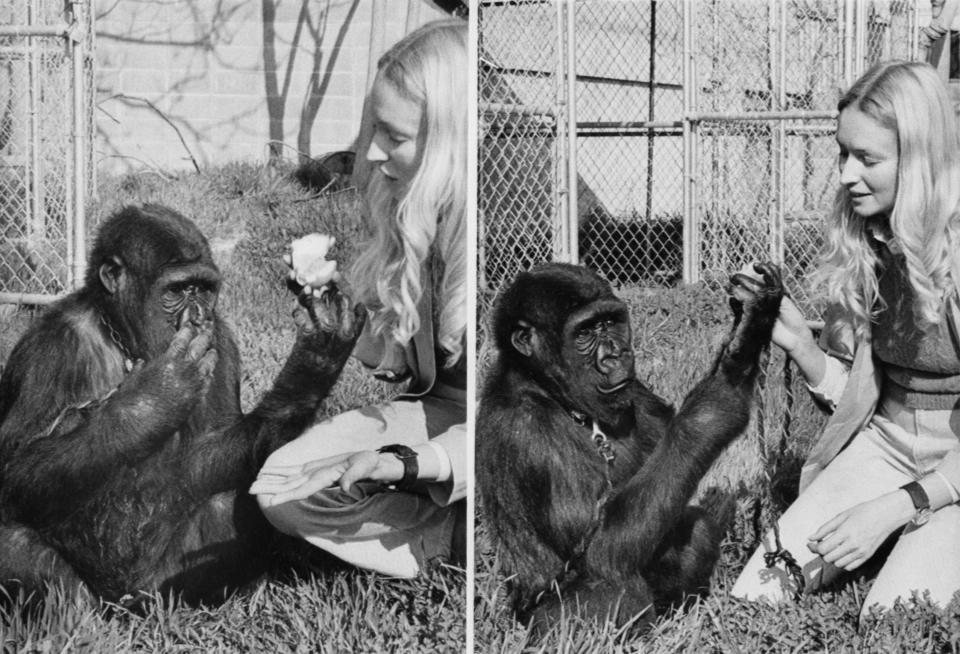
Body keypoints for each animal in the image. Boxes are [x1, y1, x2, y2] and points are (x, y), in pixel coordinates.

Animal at [0, 208, 364, 608]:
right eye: (176, 290)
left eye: (203, 288)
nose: (199, 312)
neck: (123, 337)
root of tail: (128, 604)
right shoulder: (47, 349)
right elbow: (17, 465)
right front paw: (156, 396)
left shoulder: (221, 340)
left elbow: (212, 446)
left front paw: (315, 363)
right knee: (13, 536)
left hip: (163, 587)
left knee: (235, 497)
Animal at [476, 262, 784, 632]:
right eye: (584, 332)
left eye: (611, 322)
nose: (616, 353)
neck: (550, 391)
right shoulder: (527, 432)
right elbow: (599, 547)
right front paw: (722, 393)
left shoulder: (634, 388)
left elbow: (675, 466)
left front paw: (751, 324)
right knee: (610, 584)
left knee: (692, 526)